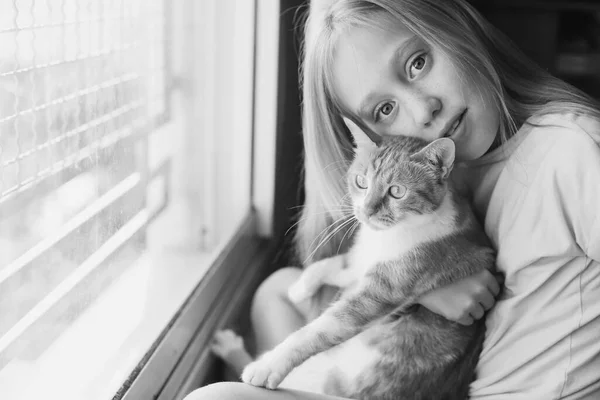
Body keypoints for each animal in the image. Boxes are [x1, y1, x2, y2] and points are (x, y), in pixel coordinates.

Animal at [239, 119, 496, 400]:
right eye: (361, 181)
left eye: (397, 191)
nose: (367, 211)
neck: (389, 236)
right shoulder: (361, 261)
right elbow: (333, 264)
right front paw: (300, 288)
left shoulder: (383, 290)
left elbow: (318, 330)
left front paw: (268, 365)